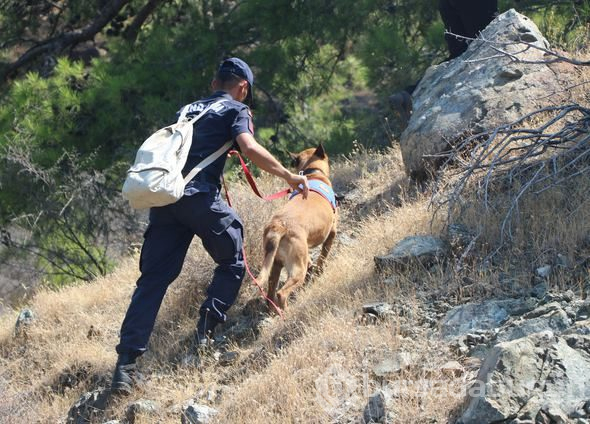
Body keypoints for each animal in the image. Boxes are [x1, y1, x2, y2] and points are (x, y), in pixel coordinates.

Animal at [258, 144, 338, 310]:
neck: (313, 173)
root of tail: (279, 226)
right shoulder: (332, 231)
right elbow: (323, 256)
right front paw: (319, 271)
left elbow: (311, 262)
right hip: (296, 269)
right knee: (282, 293)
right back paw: (286, 311)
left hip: (275, 263)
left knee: (271, 290)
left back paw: (273, 310)